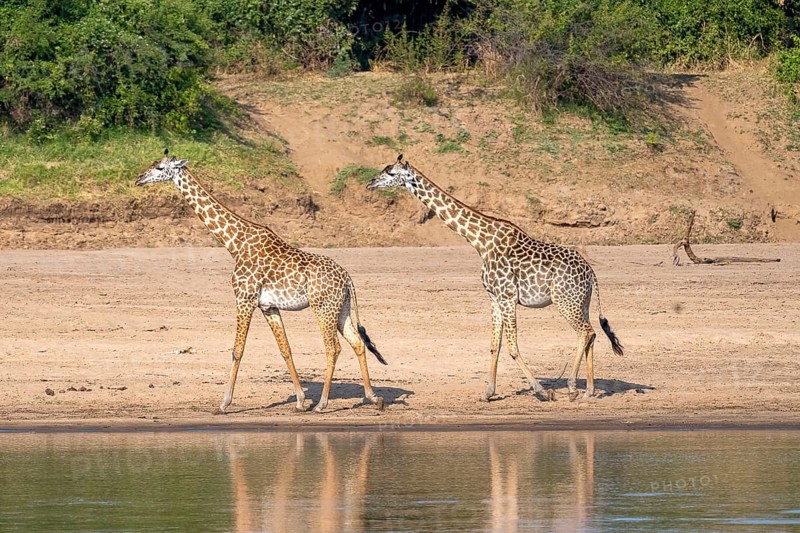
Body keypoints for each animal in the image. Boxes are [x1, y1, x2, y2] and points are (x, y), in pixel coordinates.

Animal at [136, 150, 387, 413]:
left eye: (160, 168)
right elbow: (285, 349)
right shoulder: (268, 306)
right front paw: (300, 400)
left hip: (323, 308)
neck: (234, 244)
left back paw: (322, 404)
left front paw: (224, 403)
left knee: (333, 348)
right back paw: (373, 397)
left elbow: (237, 350)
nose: (139, 178)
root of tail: (348, 278)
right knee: (357, 343)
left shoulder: (244, 298)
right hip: (342, 309)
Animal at [367, 155, 623, 402]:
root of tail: (591, 273)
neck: (481, 242)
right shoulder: (494, 297)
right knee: (592, 334)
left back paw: (572, 388)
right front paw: (488, 393)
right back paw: (589, 391)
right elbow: (494, 346)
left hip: (565, 301)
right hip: (582, 303)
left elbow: (512, 347)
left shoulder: (507, 296)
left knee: (585, 332)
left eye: (391, 173)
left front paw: (542, 391)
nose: (370, 183)